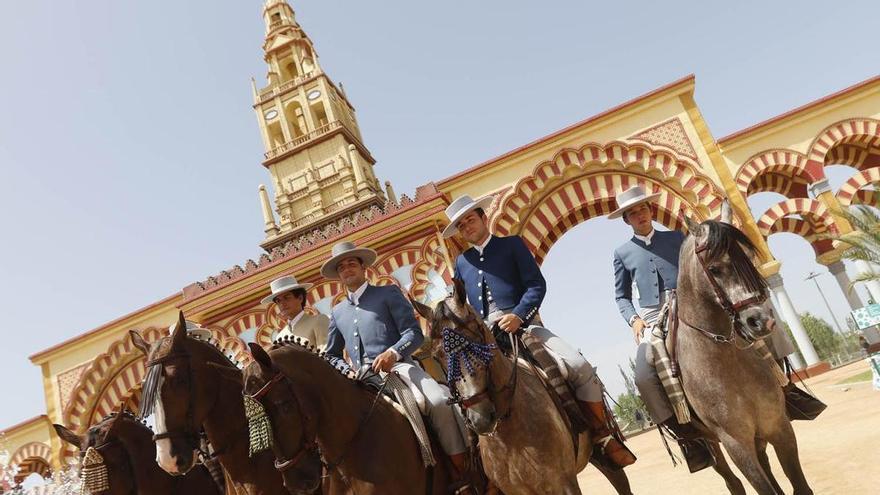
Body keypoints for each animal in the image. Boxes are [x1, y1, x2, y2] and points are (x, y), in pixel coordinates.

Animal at [676, 218, 816, 495]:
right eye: (714, 268)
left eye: (749, 259)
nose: (761, 320)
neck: (728, 362)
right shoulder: (735, 443)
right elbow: (762, 486)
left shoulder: (777, 425)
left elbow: (800, 486)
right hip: (714, 444)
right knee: (732, 480)